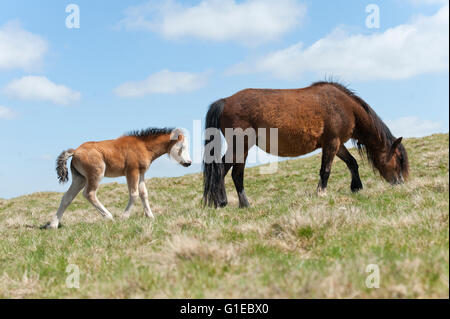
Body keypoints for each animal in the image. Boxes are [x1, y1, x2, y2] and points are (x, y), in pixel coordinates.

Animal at [41, 127, 191, 230]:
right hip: (96, 174)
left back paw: (53, 225)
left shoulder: (141, 173)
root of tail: (76, 151)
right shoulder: (132, 171)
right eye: (181, 147)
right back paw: (109, 217)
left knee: (67, 197)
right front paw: (124, 217)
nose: (188, 163)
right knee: (89, 194)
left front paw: (150, 216)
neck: (143, 146)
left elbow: (144, 194)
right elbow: (134, 194)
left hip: (80, 178)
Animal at [202, 81, 410, 209]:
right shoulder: (332, 143)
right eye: (398, 159)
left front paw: (356, 187)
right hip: (241, 145)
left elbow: (352, 163)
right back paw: (231, 203)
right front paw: (321, 193)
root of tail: (226, 101)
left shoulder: (336, 144)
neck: (345, 106)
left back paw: (232, 203)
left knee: (228, 172)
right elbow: (325, 170)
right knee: (228, 172)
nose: (400, 182)